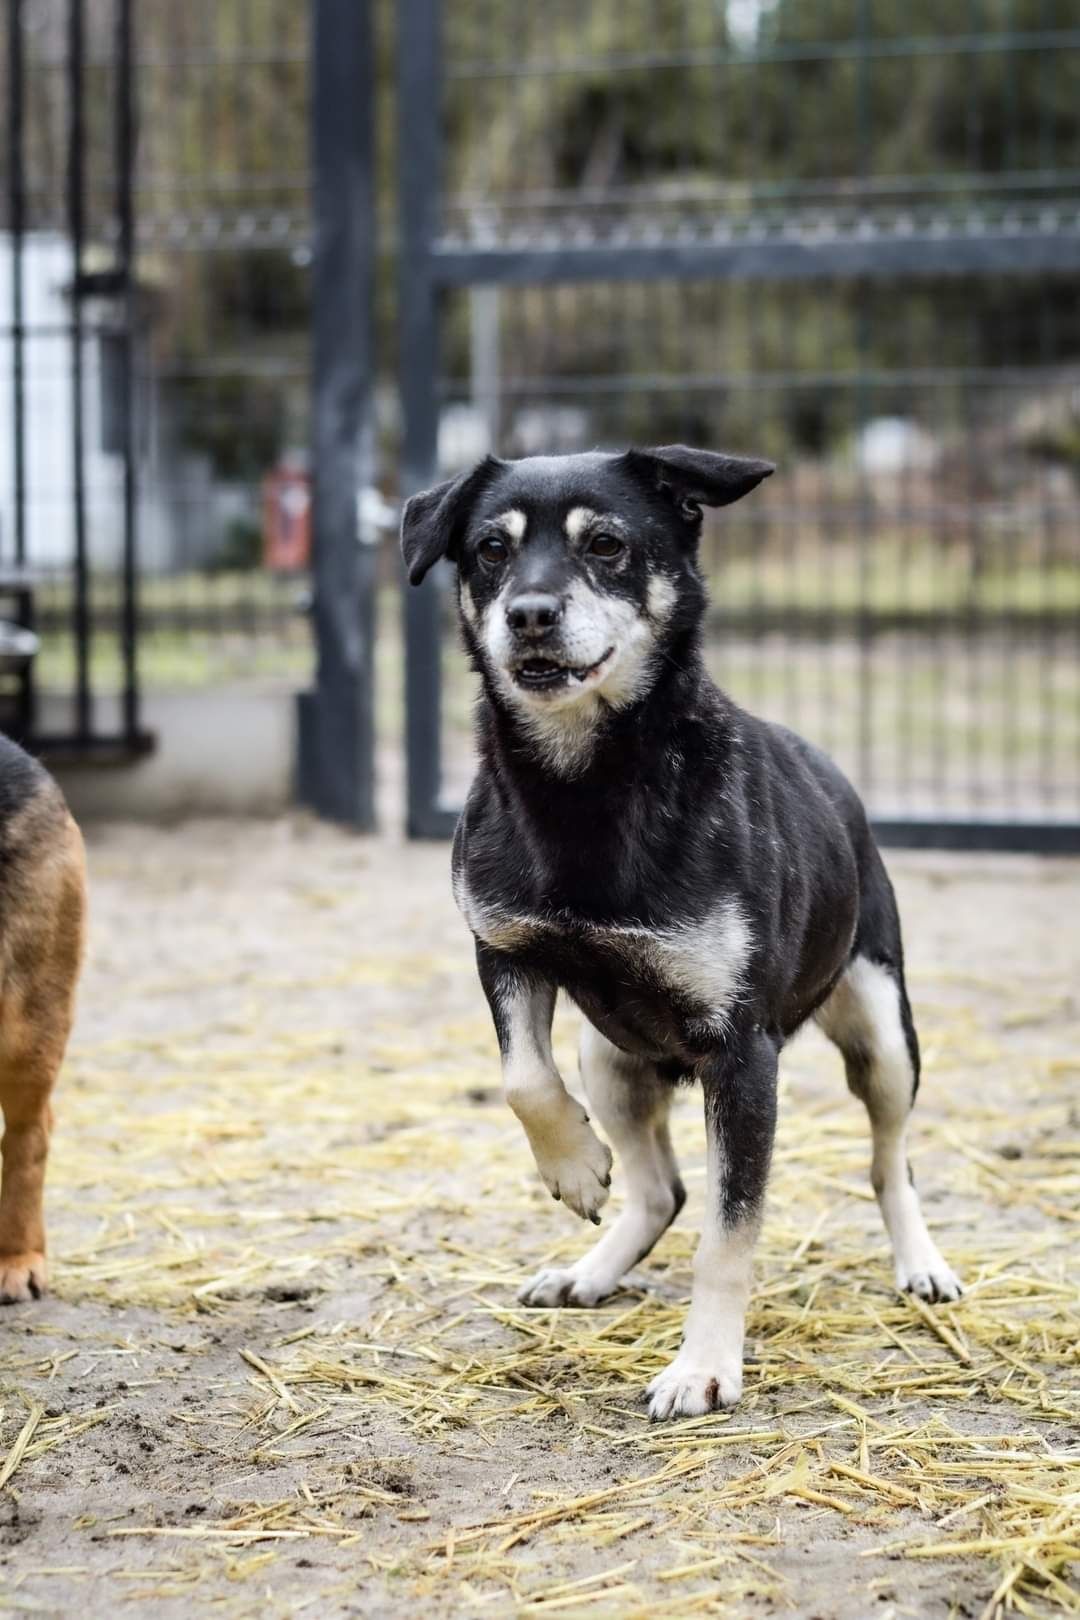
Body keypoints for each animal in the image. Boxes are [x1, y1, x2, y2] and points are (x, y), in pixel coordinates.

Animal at [401, 443, 958, 1419]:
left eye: (608, 544)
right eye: (490, 550)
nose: (529, 614)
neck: (585, 785)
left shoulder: (742, 1057)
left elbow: (728, 1237)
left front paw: (702, 1366)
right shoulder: (505, 950)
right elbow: (521, 1080)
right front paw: (574, 1166)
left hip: (884, 1034)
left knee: (890, 1161)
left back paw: (921, 1263)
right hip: (610, 1059)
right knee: (660, 1190)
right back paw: (589, 1271)